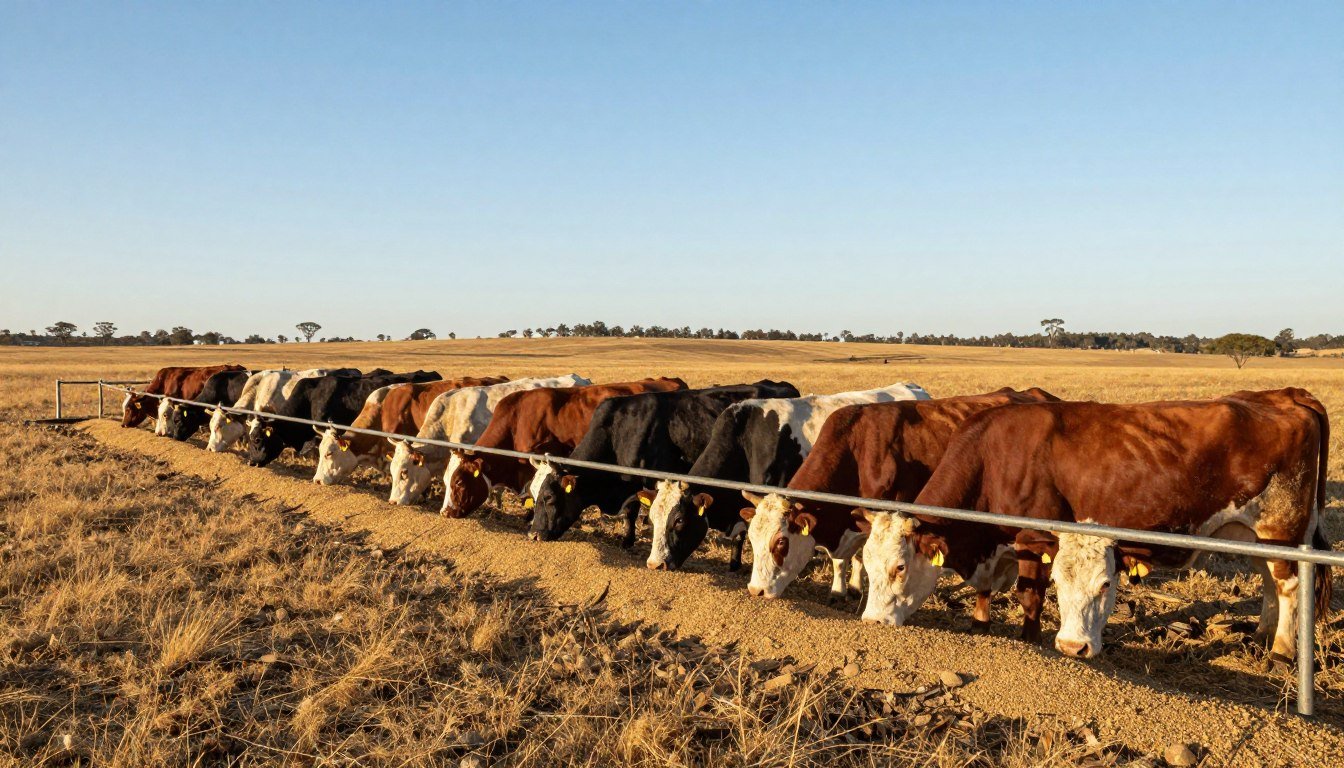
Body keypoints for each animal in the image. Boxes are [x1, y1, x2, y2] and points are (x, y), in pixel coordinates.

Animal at [527, 381, 799, 545]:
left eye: (549, 497)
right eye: (533, 493)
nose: (534, 534)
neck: (617, 429)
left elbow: (634, 511)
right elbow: (631, 512)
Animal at [739, 387, 1059, 605]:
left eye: (780, 542)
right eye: (752, 539)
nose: (756, 590)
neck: (858, 449)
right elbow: (843, 559)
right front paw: (840, 590)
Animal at [857, 388, 1331, 664]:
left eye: (899, 567)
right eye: (867, 563)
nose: (871, 622)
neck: (995, 455)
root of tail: (1288, 398)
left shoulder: (1031, 540)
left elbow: (1030, 598)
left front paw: (1029, 643)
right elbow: (988, 593)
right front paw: (980, 628)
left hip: (1280, 526)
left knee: (1289, 586)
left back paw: (1282, 652)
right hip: (1258, 534)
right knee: (1270, 581)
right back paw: (1263, 634)